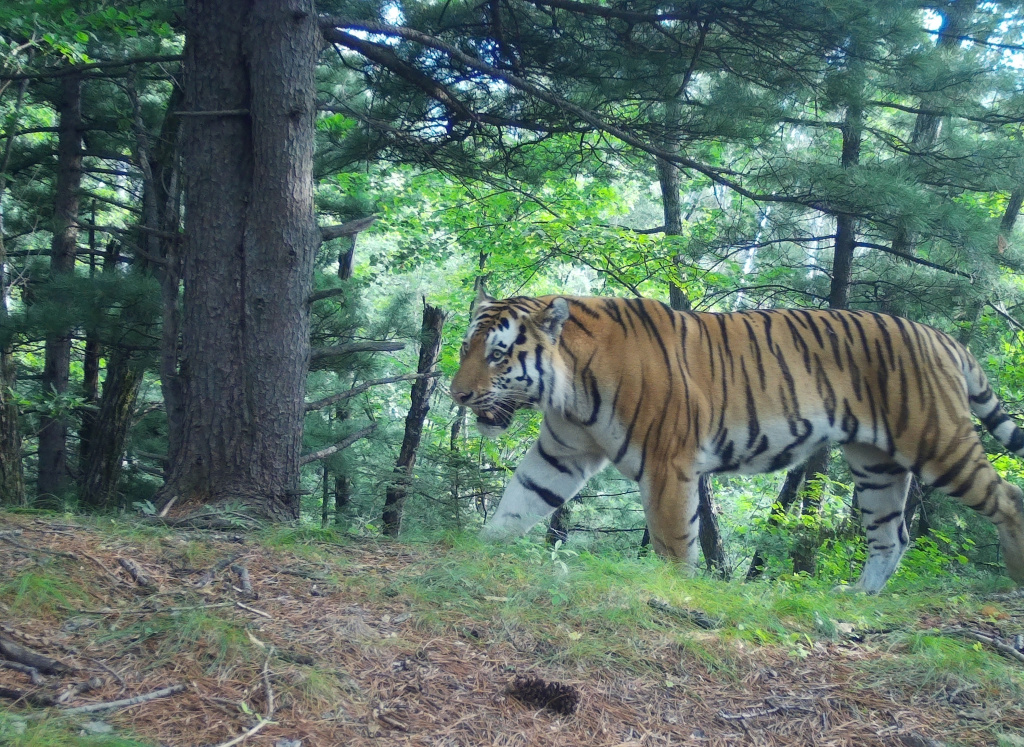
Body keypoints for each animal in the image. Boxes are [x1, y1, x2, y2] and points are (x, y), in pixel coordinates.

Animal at [450, 290, 1024, 593]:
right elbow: (518, 502)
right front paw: (474, 550)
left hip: (937, 442)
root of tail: (941, 336)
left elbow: (673, 542)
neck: (567, 389)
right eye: (464, 349)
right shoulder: (562, 454)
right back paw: (857, 599)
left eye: (498, 354)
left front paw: (675, 593)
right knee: (892, 536)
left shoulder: (667, 463)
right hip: (876, 464)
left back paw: (1016, 576)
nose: (457, 394)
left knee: (1008, 498)